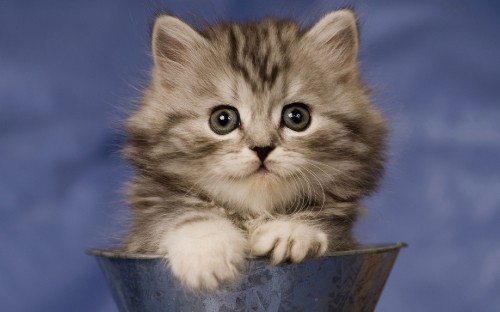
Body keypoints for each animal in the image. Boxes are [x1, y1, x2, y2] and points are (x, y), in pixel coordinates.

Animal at [122, 9, 386, 290]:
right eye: (223, 119)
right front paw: (206, 251)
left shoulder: (344, 237)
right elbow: (180, 214)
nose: (262, 148)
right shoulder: (144, 229)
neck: (253, 212)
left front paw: (290, 231)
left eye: (297, 117)